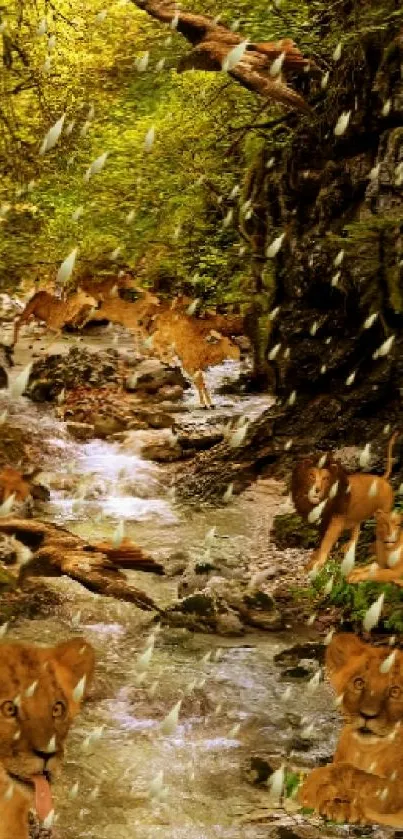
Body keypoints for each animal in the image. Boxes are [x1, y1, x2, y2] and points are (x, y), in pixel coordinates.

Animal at [300, 636, 403, 828]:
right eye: (359, 683)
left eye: (395, 691)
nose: (367, 715)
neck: (368, 751)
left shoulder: (397, 790)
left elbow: (355, 773)